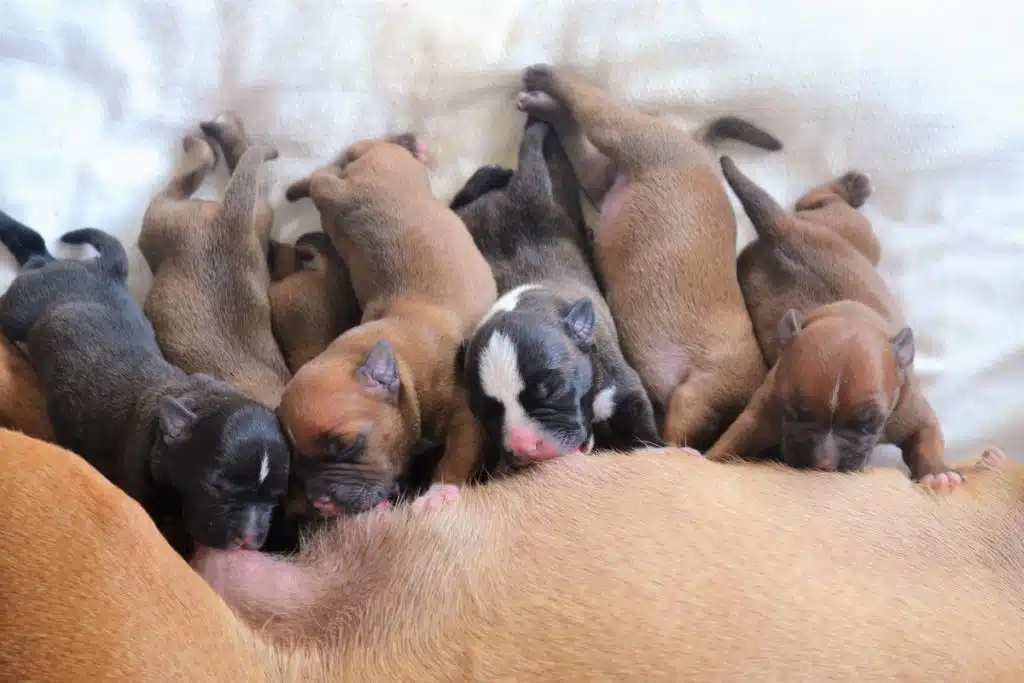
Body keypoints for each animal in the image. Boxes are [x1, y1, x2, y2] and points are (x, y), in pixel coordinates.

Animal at [454, 118, 663, 475]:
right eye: (485, 412)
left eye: (553, 391)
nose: (524, 446)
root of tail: (516, 194)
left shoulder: (624, 390)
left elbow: (640, 426)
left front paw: (658, 449)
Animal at [704, 160, 958, 491]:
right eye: (792, 411)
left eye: (870, 423)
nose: (824, 464)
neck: (849, 315)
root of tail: (781, 230)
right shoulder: (764, 409)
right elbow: (736, 437)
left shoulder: (911, 411)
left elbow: (927, 437)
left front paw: (937, 472)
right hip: (850, 231)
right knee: (818, 200)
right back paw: (852, 186)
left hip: (856, 235)